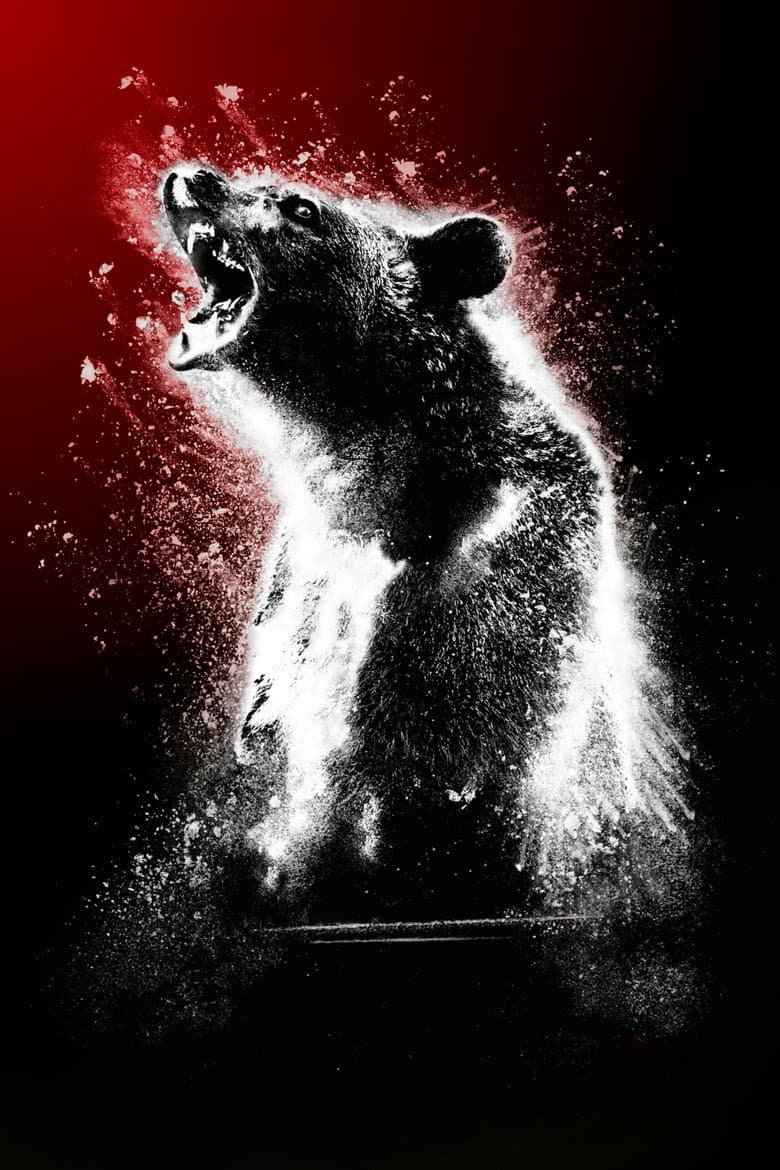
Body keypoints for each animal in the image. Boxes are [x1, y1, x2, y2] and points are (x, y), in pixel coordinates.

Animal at [161, 164, 686, 924]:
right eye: (253, 179)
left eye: (300, 207)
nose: (190, 177)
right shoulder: (309, 557)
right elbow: (288, 667)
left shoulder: (499, 555)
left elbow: (429, 718)